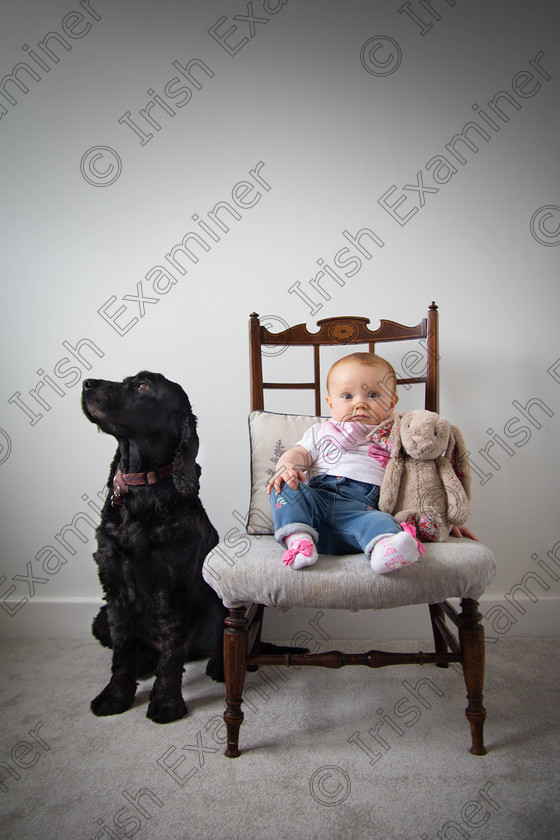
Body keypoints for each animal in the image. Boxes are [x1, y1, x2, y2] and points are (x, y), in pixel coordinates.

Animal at [81, 372, 225, 720]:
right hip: (99, 620)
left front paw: (166, 702)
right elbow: (122, 649)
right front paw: (115, 695)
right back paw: (143, 665)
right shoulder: (113, 583)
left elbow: (172, 651)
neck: (141, 489)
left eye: (143, 386)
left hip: (215, 602)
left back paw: (217, 666)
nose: (87, 383)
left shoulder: (172, 582)